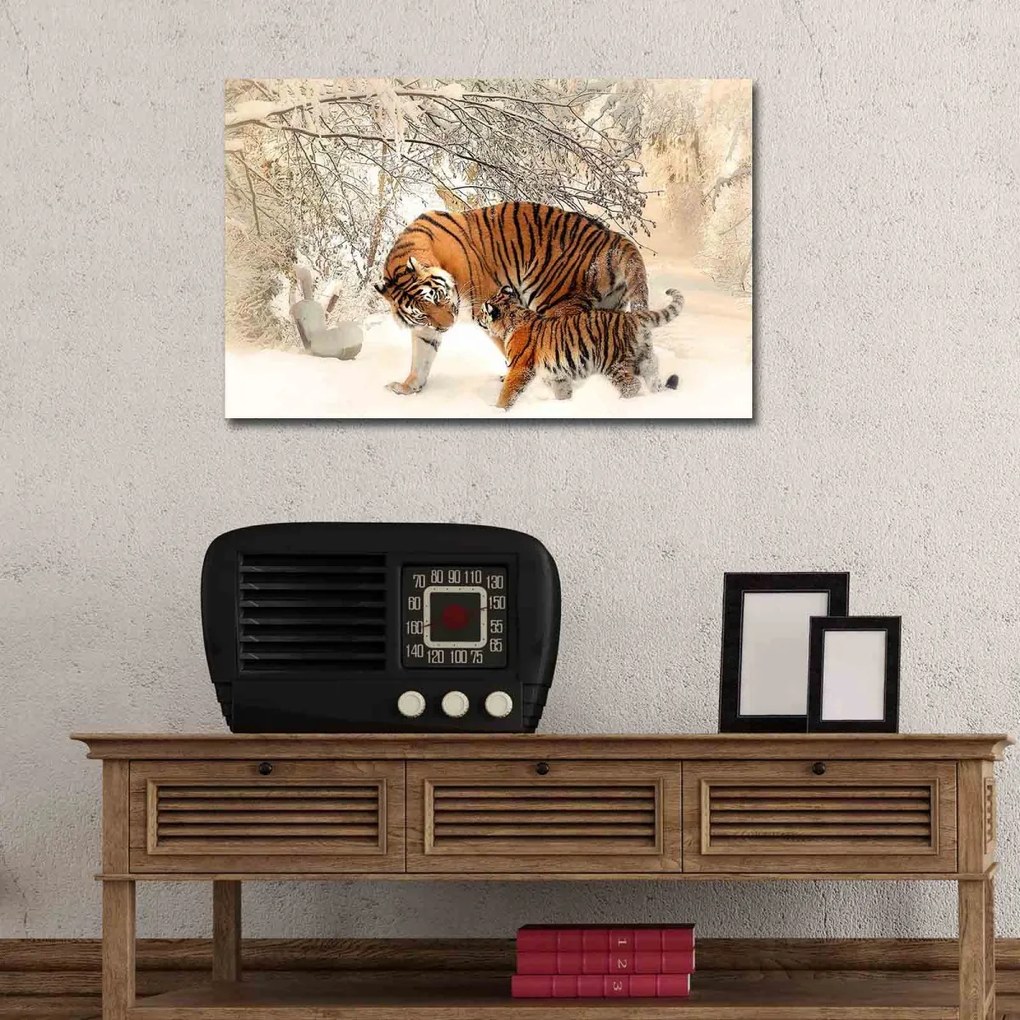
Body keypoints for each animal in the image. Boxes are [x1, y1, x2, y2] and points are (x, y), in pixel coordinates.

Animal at [375, 202, 649, 394]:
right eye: (422, 313)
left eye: (438, 297)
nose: (448, 326)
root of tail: (614, 237)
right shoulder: (426, 328)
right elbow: (421, 357)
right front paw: (408, 387)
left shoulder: (487, 306)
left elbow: (509, 347)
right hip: (608, 308)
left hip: (555, 301)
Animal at [477, 287, 684, 410]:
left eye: (482, 311)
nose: (477, 317)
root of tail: (632, 317)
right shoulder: (557, 375)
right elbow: (562, 391)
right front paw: (565, 405)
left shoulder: (520, 368)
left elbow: (508, 391)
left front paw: (498, 410)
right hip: (645, 358)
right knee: (653, 378)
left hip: (613, 363)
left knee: (632, 385)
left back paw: (620, 403)